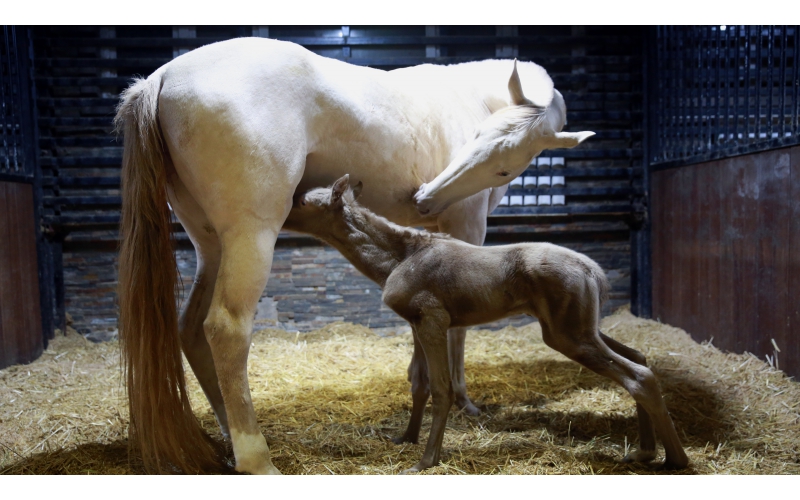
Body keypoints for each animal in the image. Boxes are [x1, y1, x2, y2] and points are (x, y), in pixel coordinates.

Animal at [114, 37, 592, 474]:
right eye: (478, 137)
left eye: (504, 164)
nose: (425, 198)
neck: (472, 93)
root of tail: (162, 78)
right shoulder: (466, 226)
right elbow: (458, 327)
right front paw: (462, 402)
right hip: (251, 238)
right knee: (225, 330)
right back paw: (256, 458)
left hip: (212, 245)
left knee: (191, 329)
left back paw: (229, 440)